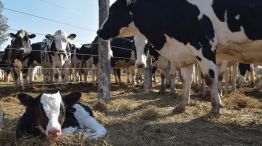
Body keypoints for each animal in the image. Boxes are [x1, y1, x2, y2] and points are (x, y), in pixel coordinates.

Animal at [97, 0, 262, 114]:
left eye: (113, 12)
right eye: (133, 47)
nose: (99, 31)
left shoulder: (204, 47)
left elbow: (210, 77)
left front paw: (216, 106)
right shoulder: (186, 53)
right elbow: (185, 79)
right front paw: (182, 104)